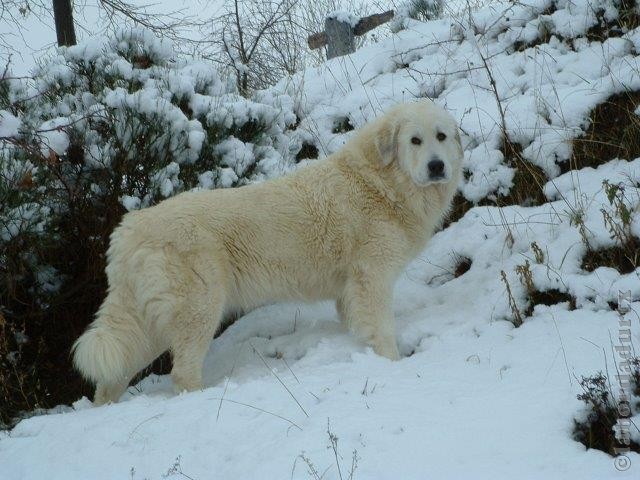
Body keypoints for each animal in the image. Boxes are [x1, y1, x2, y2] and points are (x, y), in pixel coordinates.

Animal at [72, 100, 462, 404]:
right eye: (415, 140)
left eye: (441, 137)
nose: (437, 166)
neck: (382, 183)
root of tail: (128, 231)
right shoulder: (373, 278)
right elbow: (382, 330)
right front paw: (392, 365)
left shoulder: (349, 289)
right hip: (198, 310)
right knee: (181, 373)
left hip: (147, 324)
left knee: (111, 378)